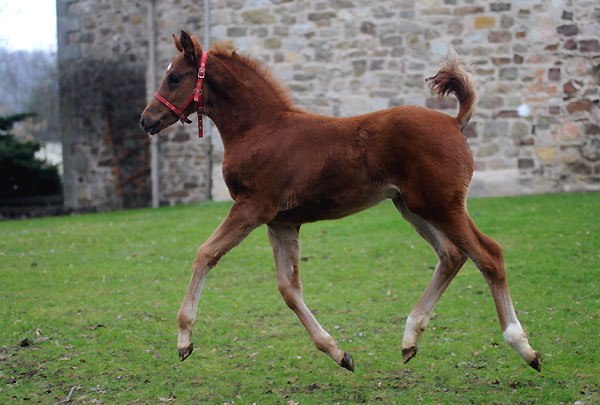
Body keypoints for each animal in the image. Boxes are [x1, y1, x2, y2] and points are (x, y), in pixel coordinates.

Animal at [139, 30, 540, 372]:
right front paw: (338, 353)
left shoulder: (253, 207)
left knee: (488, 254)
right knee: (452, 255)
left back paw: (524, 347)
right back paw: (410, 338)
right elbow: (288, 288)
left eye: (175, 78)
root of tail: (455, 123)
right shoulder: (281, 221)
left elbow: (205, 253)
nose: (146, 120)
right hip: (411, 207)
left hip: (444, 205)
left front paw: (183, 340)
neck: (260, 129)